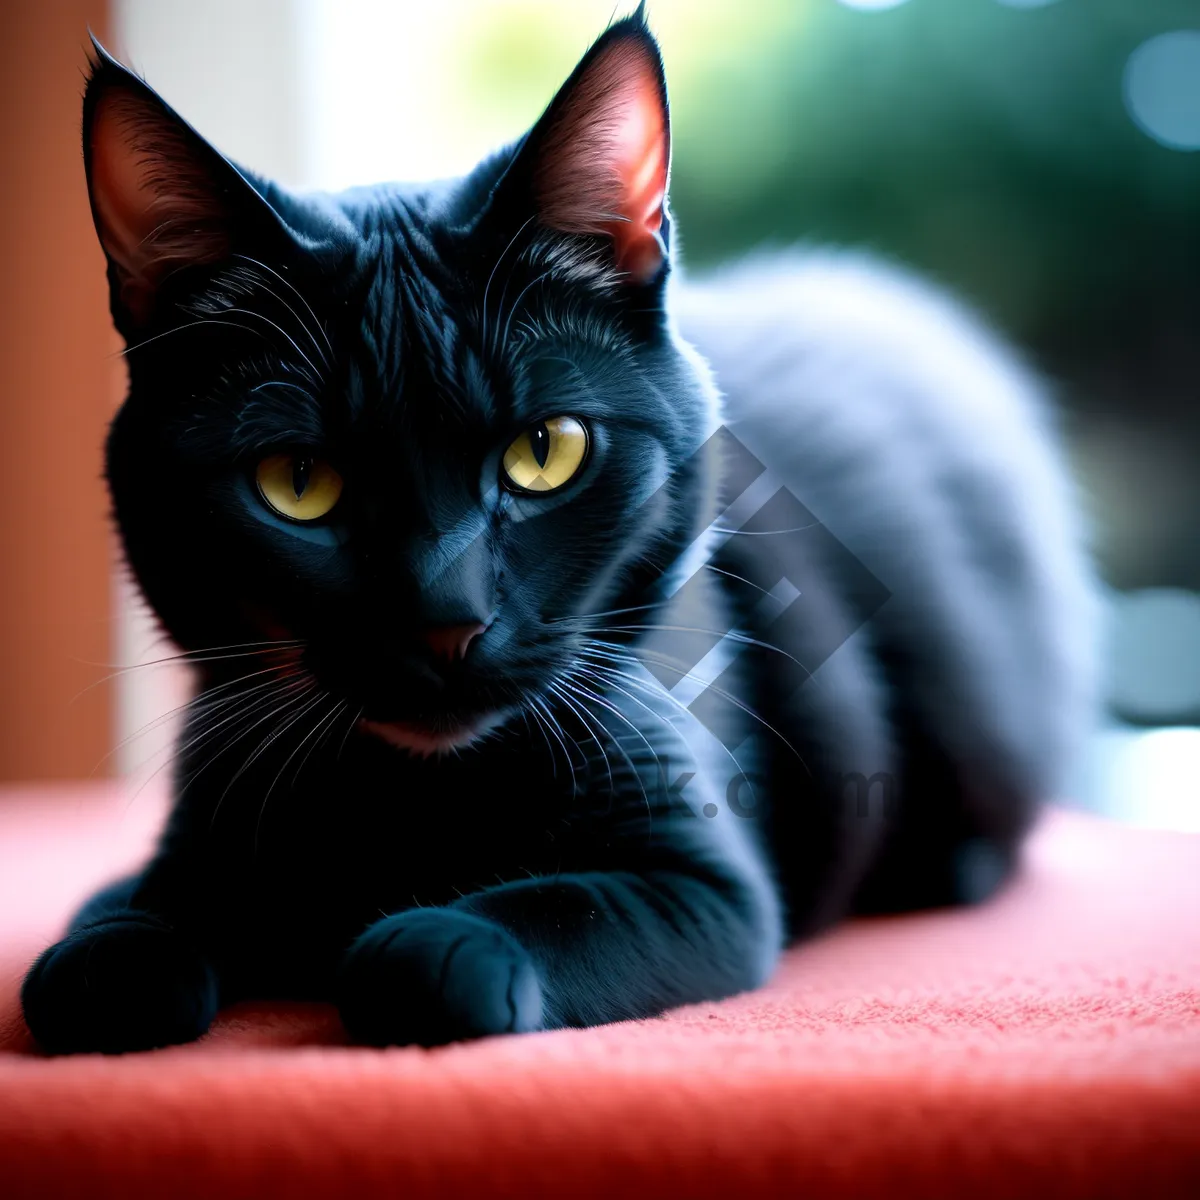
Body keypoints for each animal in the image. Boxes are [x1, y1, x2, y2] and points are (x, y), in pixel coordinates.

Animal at [21, 11, 1099, 1060]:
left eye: (544, 452)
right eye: (298, 482)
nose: (444, 621)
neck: (416, 797)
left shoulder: (702, 882)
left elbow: (525, 919)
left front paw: (431, 942)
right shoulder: (211, 806)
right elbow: (120, 917)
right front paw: (116, 957)